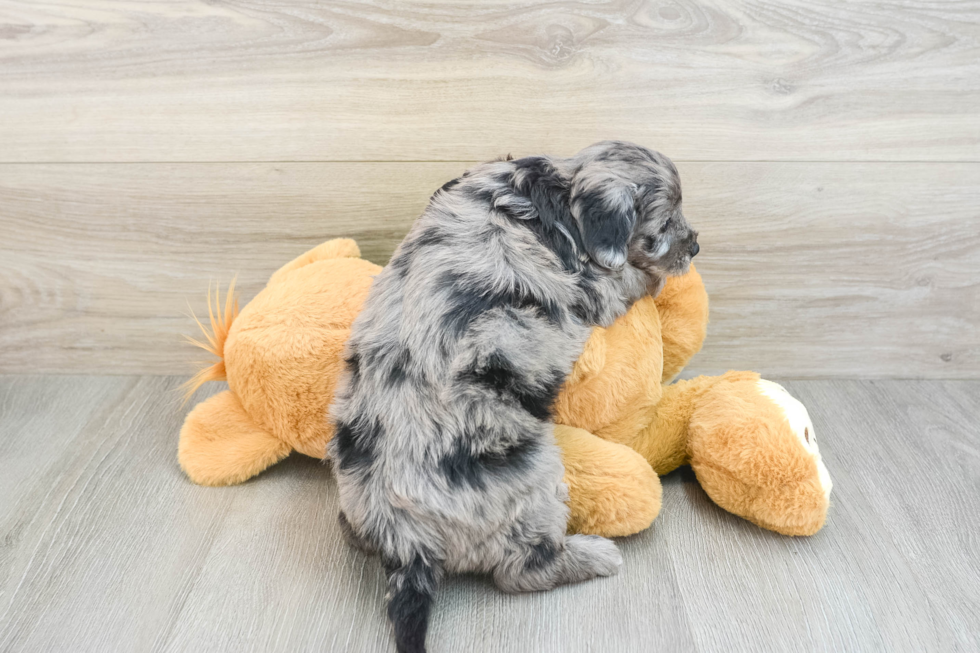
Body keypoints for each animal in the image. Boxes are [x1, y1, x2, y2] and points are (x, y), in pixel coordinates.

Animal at [330, 140, 696, 648]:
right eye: (663, 225)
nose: (695, 244)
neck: (553, 191)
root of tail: (408, 543)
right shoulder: (594, 288)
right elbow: (625, 280)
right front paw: (655, 279)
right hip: (533, 491)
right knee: (520, 571)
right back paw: (591, 556)